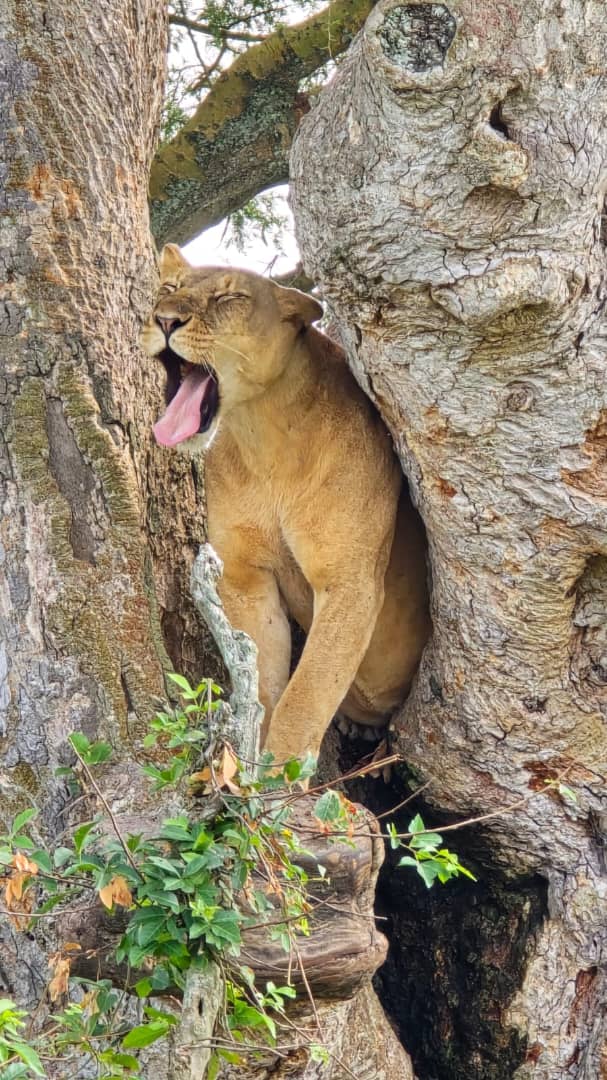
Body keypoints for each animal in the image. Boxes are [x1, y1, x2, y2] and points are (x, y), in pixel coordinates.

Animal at [142, 244, 430, 765]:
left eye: (231, 297)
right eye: (169, 289)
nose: (165, 319)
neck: (264, 435)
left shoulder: (349, 581)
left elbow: (306, 695)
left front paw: (283, 778)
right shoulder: (245, 577)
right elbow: (262, 684)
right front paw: (248, 763)